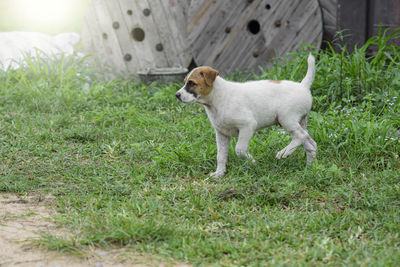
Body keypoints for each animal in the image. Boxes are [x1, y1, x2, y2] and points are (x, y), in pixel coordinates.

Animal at [177, 54, 318, 178]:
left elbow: (239, 149)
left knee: (301, 136)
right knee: (310, 144)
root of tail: (303, 86)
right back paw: (309, 168)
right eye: (185, 82)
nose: (177, 95)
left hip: (286, 119)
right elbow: (221, 156)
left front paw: (252, 161)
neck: (217, 99)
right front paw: (220, 173)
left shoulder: (247, 126)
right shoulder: (222, 134)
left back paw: (285, 152)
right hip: (298, 122)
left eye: (192, 83)